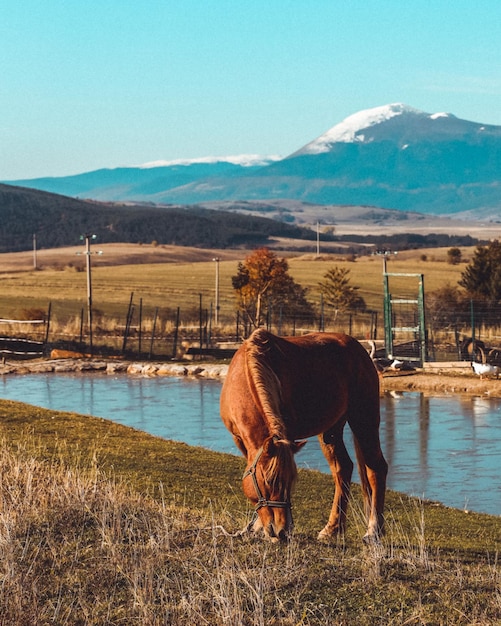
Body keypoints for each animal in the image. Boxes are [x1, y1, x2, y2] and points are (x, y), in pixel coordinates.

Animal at [219, 326, 386, 540]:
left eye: (291, 480)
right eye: (269, 481)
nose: (281, 530)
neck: (246, 373)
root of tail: (359, 350)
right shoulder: (241, 440)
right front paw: (258, 527)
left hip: (364, 420)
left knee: (376, 468)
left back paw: (373, 530)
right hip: (330, 431)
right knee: (343, 468)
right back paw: (332, 529)